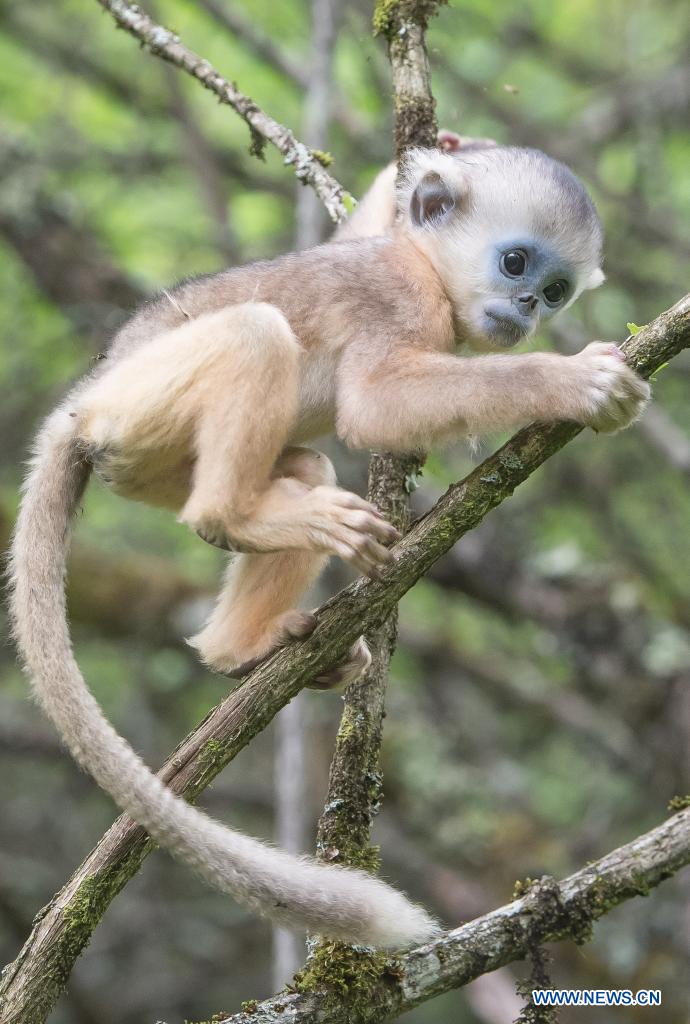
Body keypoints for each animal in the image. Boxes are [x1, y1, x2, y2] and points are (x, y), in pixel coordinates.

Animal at [8, 144, 647, 950]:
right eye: (515, 263)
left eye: (557, 288)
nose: (532, 305)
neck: (423, 266)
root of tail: (78, 411)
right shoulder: (401, 299)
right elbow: (374, 407)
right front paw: (572, 382)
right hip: (140, 405)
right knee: (255, 336)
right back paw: (237, 518)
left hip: (154, 461)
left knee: (305, 469)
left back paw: (243, 645)